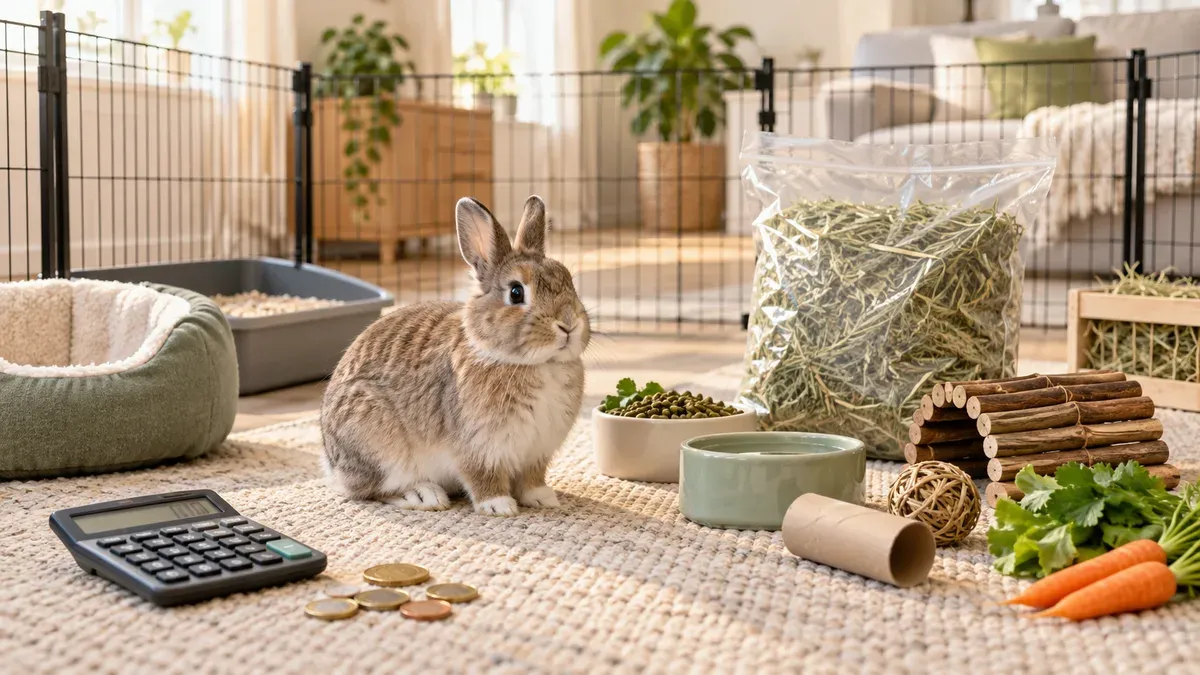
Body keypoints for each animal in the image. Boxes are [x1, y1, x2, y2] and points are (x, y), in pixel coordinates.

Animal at [319, 195, 590, 516]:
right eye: (516, 292)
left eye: (569, 280)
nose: (569, 324)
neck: (538, 364)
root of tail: (332, 464)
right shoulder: (478, 448)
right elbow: (483, 478)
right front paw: (499, 506)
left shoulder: (537, 452)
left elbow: (531, 479)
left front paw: (543, 498)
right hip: (378, 446)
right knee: (371, 490)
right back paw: (424, 495)